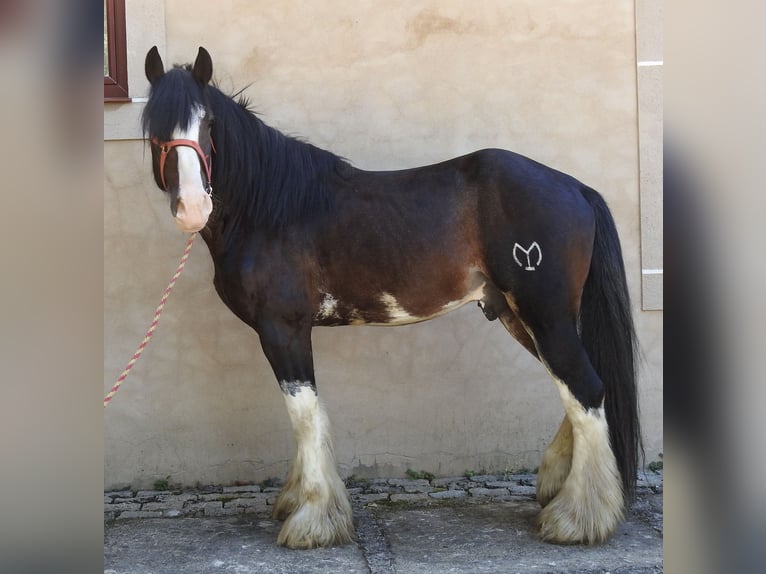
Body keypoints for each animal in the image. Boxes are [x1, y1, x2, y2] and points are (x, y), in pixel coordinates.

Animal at [140, 47, 640, 552]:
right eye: (153, 128)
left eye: (208, 123)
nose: (191, 208)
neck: (269, 210)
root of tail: (574, 188)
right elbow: (309, 417)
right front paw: (299, 501)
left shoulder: (283, 330)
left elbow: (304, 415)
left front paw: (313, 520)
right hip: (521, 317)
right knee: (574, 390)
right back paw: (559, 488)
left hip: (545, 314)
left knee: (585, 389)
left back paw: (578, 518)